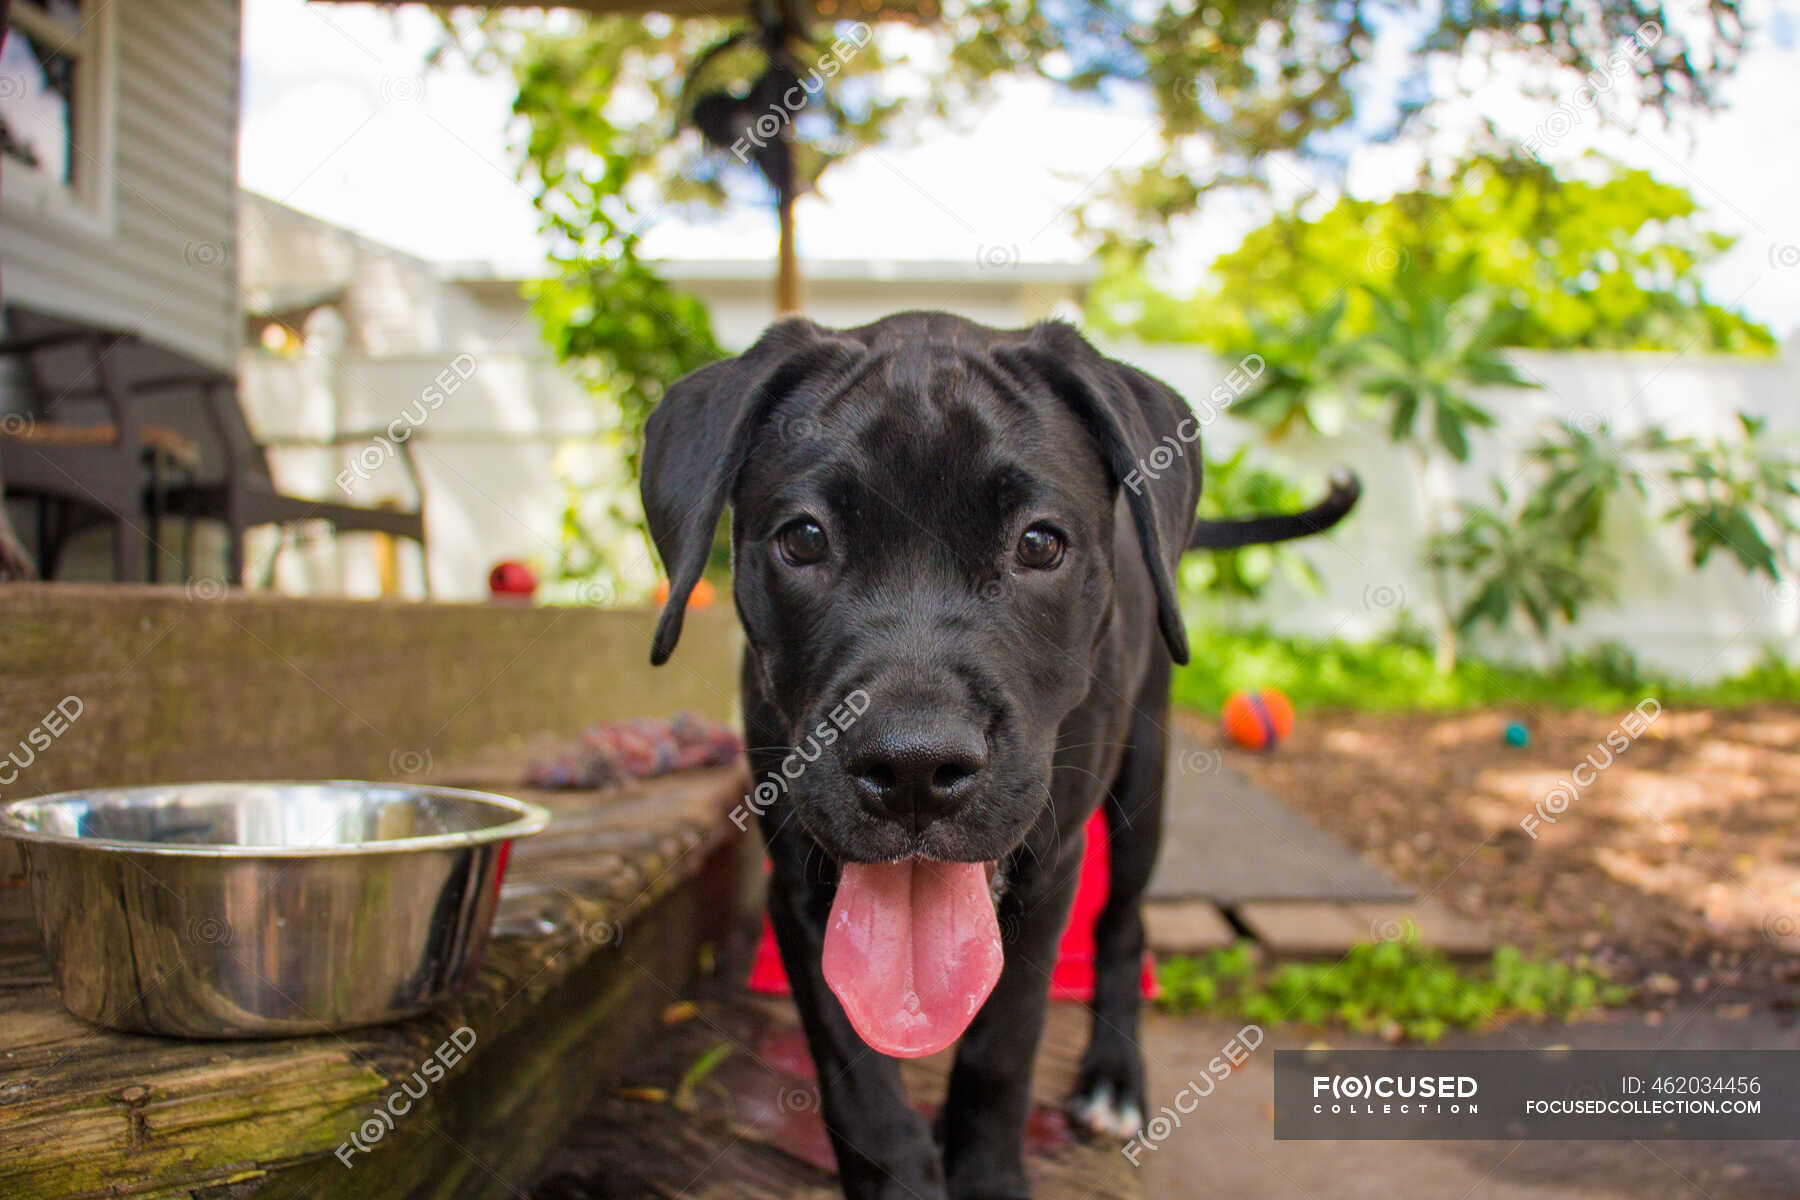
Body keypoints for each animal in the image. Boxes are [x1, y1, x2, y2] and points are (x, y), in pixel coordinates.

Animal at [640, 314, 1353, 1194]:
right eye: (803, 539)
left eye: (1040, 544)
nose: (912, 768)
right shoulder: (799, 885)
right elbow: (858, 1085)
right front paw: (904, 1176)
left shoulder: (1050, 868)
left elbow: (1002, 1050)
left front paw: (986, 1173)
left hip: (1142, 785)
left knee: (1123, 928)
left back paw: (1113, 1079)